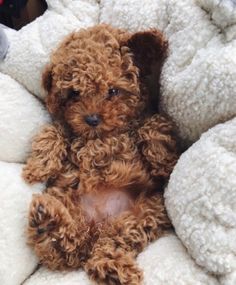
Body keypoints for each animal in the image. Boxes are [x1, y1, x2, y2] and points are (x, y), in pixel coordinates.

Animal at [23, 24, 179, 284]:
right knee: (70, 249)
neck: (100, 137)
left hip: (146, 213)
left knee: (112, 242)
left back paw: (113, 266)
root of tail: (95, 230)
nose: (92, 119)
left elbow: (153, 124)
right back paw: (47, 223)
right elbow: (52, 131)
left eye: (113, 91)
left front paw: (165, 161)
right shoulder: (68, 129)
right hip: (66, 199)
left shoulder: (143, 120)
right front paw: (38, 166)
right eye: (74, 93)